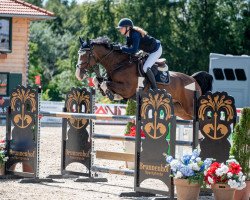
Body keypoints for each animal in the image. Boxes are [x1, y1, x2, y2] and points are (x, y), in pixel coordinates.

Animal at [75, 36, 212, 119]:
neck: (120, 64)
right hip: (180, 109)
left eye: (86, 54)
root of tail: (194, 80)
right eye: (79, 54)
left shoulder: (127, 89)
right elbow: (98, 81)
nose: (78, 74)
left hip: (190, 107)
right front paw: (108, 92)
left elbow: (106, 84)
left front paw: (112, 94)